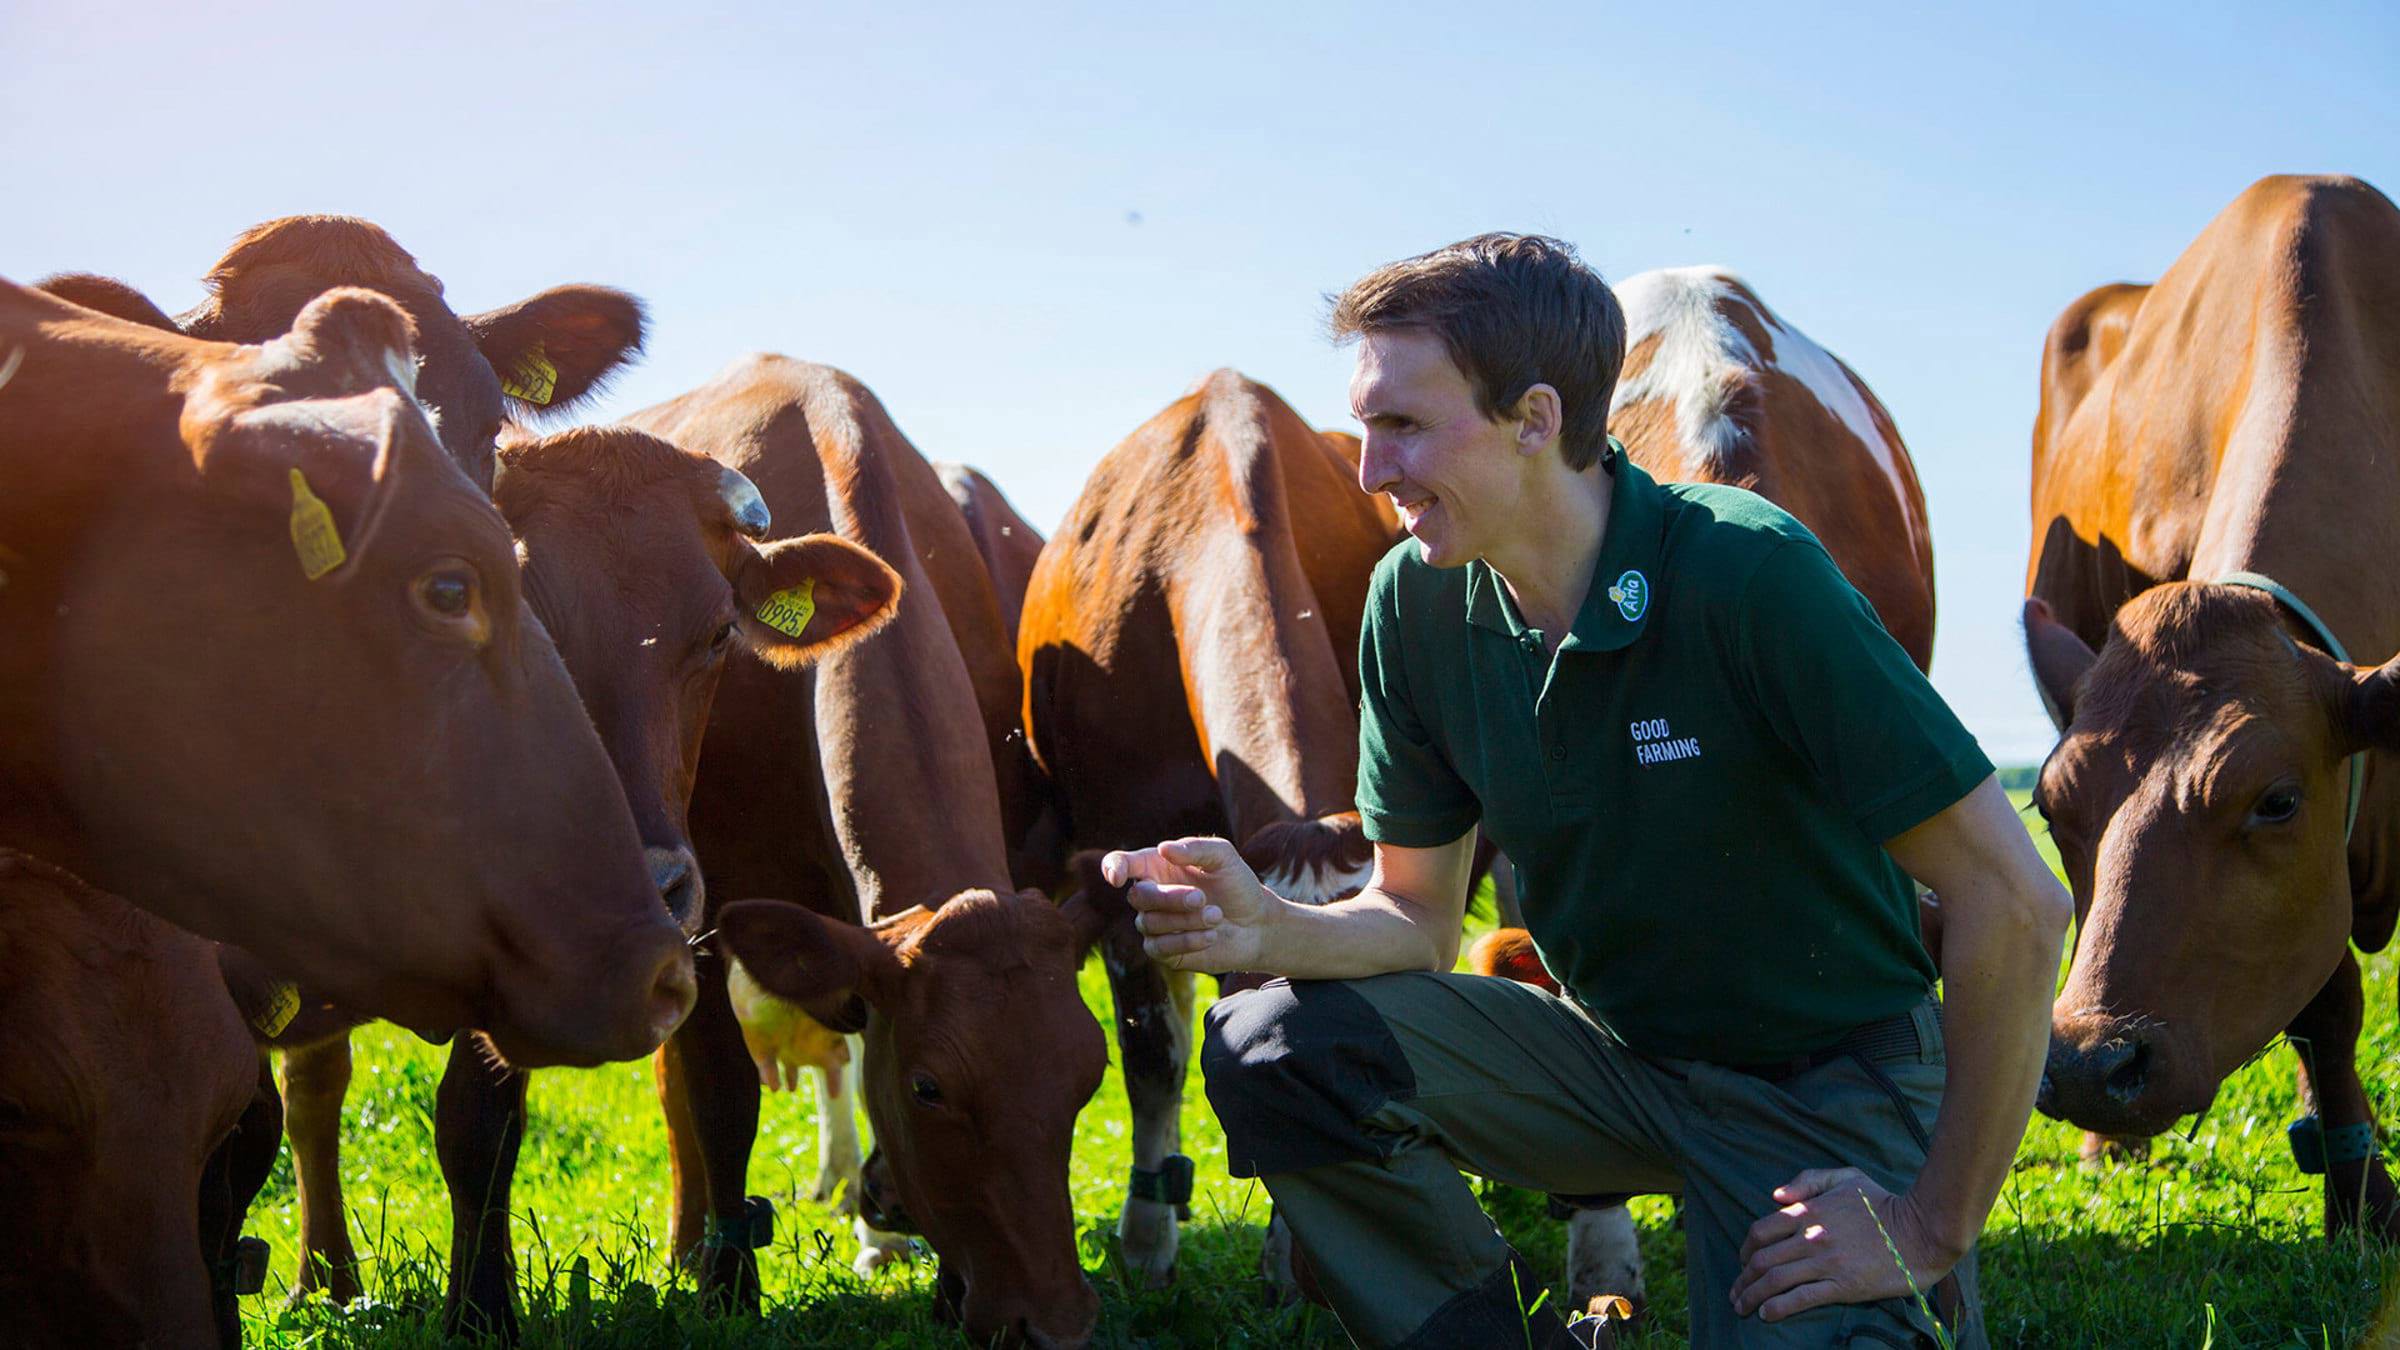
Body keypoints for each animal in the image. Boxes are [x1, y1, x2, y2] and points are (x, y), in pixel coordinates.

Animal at [633, 353, 1118, 1335]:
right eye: (930, 1088)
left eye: (1088, 1074)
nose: (1054, 1322)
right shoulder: (706, 906)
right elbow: (721, 1095)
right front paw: (727, 1284)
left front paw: (938, 1280)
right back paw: (688, 1243)